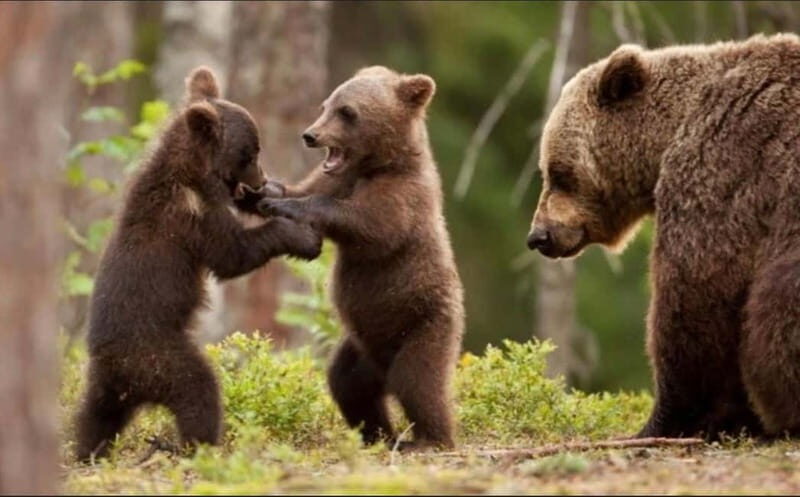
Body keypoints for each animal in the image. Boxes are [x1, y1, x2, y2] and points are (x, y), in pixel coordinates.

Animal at [74, 66, 322, 462]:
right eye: (250, 152)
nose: (261, 179)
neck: (193, 174)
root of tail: (121, 373)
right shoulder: (191, 217)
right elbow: (233, 254)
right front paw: (302, 236)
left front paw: (273, 197)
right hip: (159, 357)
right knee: (198, 389)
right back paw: (198, 444)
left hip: (106, 385)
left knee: (94, 417)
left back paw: (86, 450)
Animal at [258, 66, 465, 450]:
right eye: (326, 104)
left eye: (347, 112)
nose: (310, 135)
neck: (377, 165)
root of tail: (382, 365)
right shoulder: (338, 178)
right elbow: (307, 188)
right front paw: (265, 191)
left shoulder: (403, 197)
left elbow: (370, 227)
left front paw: (289, 206)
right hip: (361, 347)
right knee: (348, 384)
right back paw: (378, 434)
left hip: (424, 324)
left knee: (418, 381)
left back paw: (429, 439)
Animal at [527, 33, 800, 440]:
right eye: (548, 170)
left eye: (558, 172)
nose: (538, 236)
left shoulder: (724, 169)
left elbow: (695, 294)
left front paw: (665, 420)